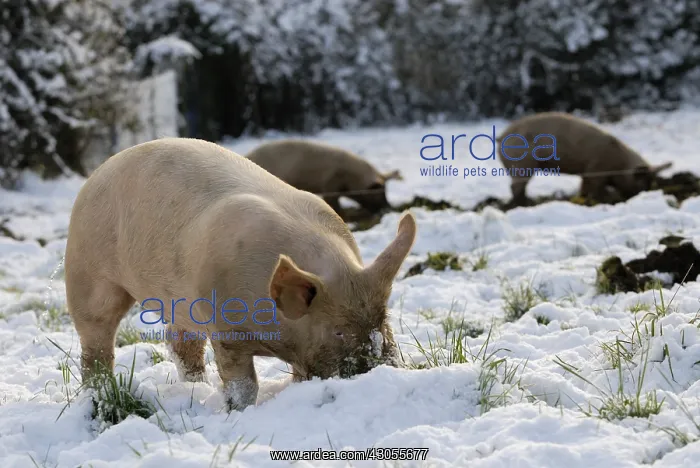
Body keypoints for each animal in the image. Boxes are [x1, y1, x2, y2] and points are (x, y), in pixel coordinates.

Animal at [496, 112, 673, 204]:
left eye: (652, 182)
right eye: (641, 182)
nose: (639, 197)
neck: (620, 164)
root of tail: (501, 136)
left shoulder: (587, 172)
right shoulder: (595, 169)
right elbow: (592, 187)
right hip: (521, 163)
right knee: (516, 186)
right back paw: (525, 203)